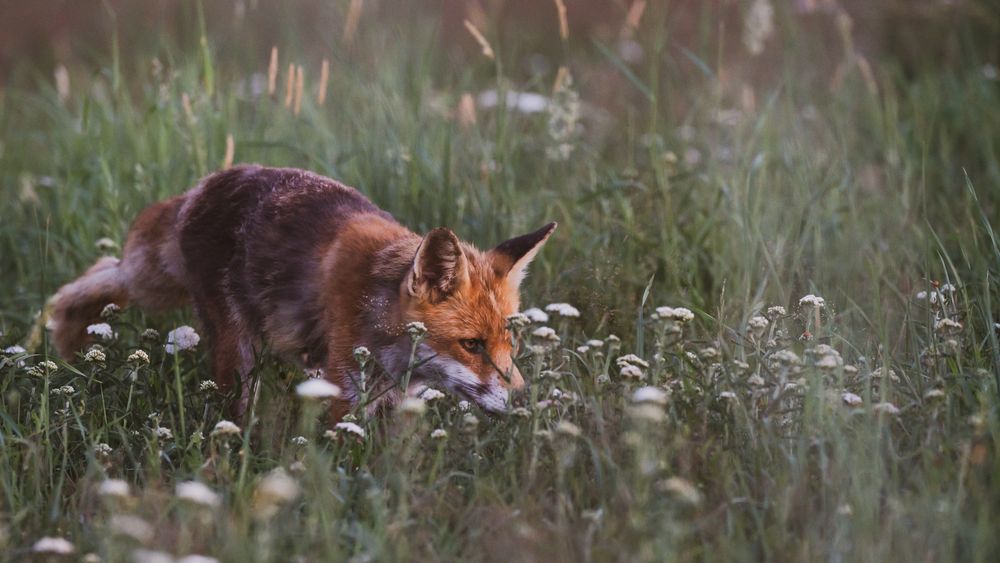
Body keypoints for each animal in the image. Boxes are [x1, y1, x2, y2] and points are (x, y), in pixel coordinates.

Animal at [50, 163, 560, 418]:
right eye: (471, 345)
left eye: (510, 345)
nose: (523, 402)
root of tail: (208, 182)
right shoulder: (344, 388)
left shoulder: (397, 399)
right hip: (230, 349)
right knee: (95, 278)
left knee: (104, 272)